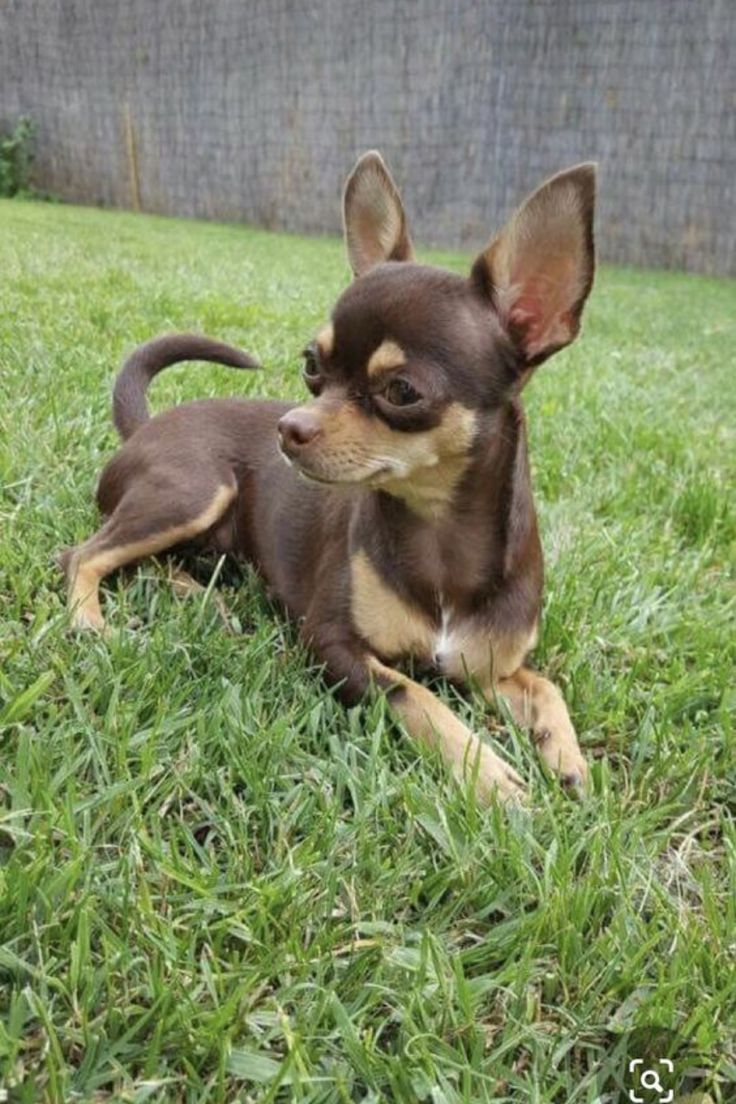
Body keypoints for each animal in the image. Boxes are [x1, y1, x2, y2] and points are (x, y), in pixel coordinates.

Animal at [60, 153, 595, 803]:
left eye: (402, 391)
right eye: (312, 365)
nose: (289, 428)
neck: (438, 531)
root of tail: (144, 425)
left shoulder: (489, 668)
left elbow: (546, 684)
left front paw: (564, 752)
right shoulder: (332, 643)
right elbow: (415, 694)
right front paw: (487, 774)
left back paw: (199, 596)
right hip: (193, 490)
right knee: (83, 554)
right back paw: (90, 620)